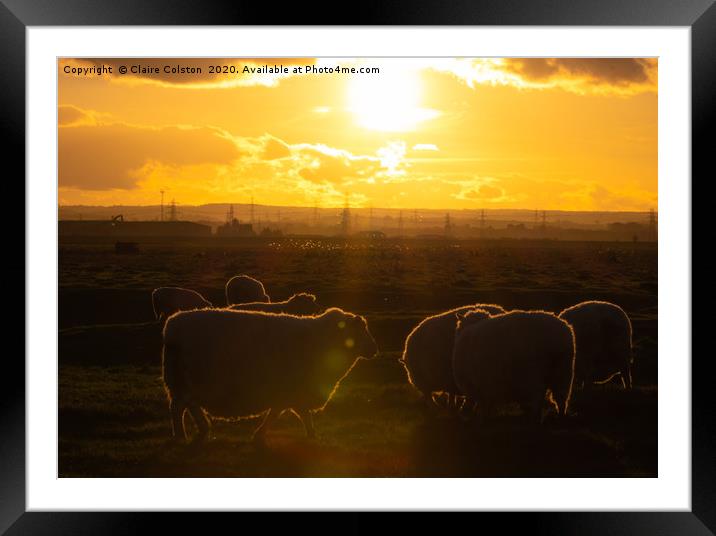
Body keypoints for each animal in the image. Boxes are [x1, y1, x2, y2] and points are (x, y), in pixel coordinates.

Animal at [160, 306, 378, 444]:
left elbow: (300, 414)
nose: (374, 349)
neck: (324, 340)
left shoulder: (295, 392)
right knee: (178, 407)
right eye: (361, 331)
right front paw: (260, 435)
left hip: (185, 383)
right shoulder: (292, 390)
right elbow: (279, 414)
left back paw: (203, 428)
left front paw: (311, 435)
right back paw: (181, 436)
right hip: (186, 381)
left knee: (189, 406)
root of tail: (171, 327)